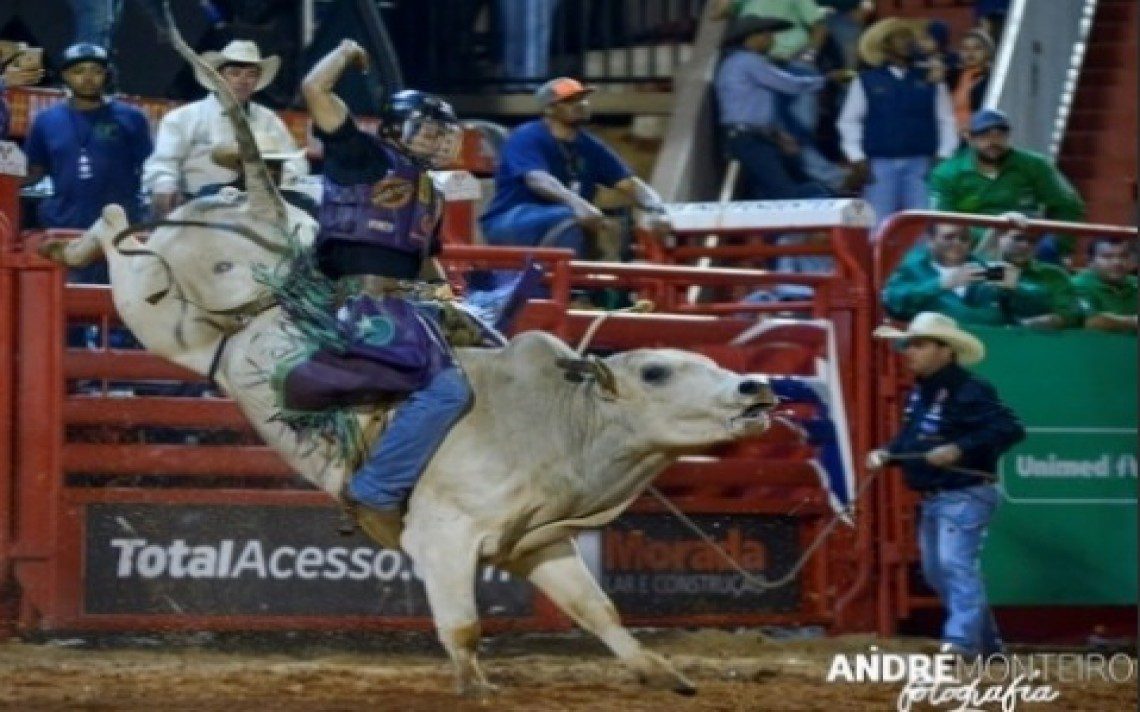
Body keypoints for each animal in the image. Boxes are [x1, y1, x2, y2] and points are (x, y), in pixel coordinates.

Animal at [40, 2, 779, 697]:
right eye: (656, 371)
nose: (757, 388)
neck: (559, 423)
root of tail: (262, 209)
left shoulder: (542, 544)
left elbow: (600, 612)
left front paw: (662, 672)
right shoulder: (444, 536)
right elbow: (465, 625)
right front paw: (476, 686)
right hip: (154, 311)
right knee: (116, 228)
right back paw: (65, 247)